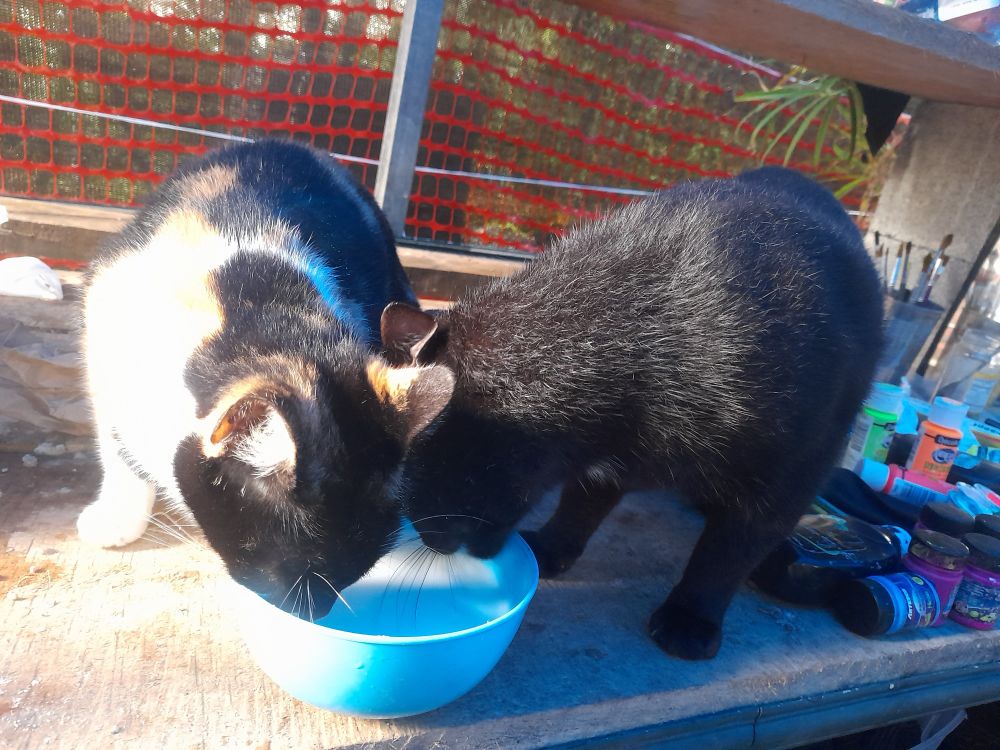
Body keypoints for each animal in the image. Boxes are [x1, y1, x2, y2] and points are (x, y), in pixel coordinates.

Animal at [375, 167, 883, 659]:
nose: (426, 538)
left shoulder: (790, 473)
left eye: (415, 473)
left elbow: (728, 552)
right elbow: (581, 505)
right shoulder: (606, 461)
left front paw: (691, 617)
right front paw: (554, 547)